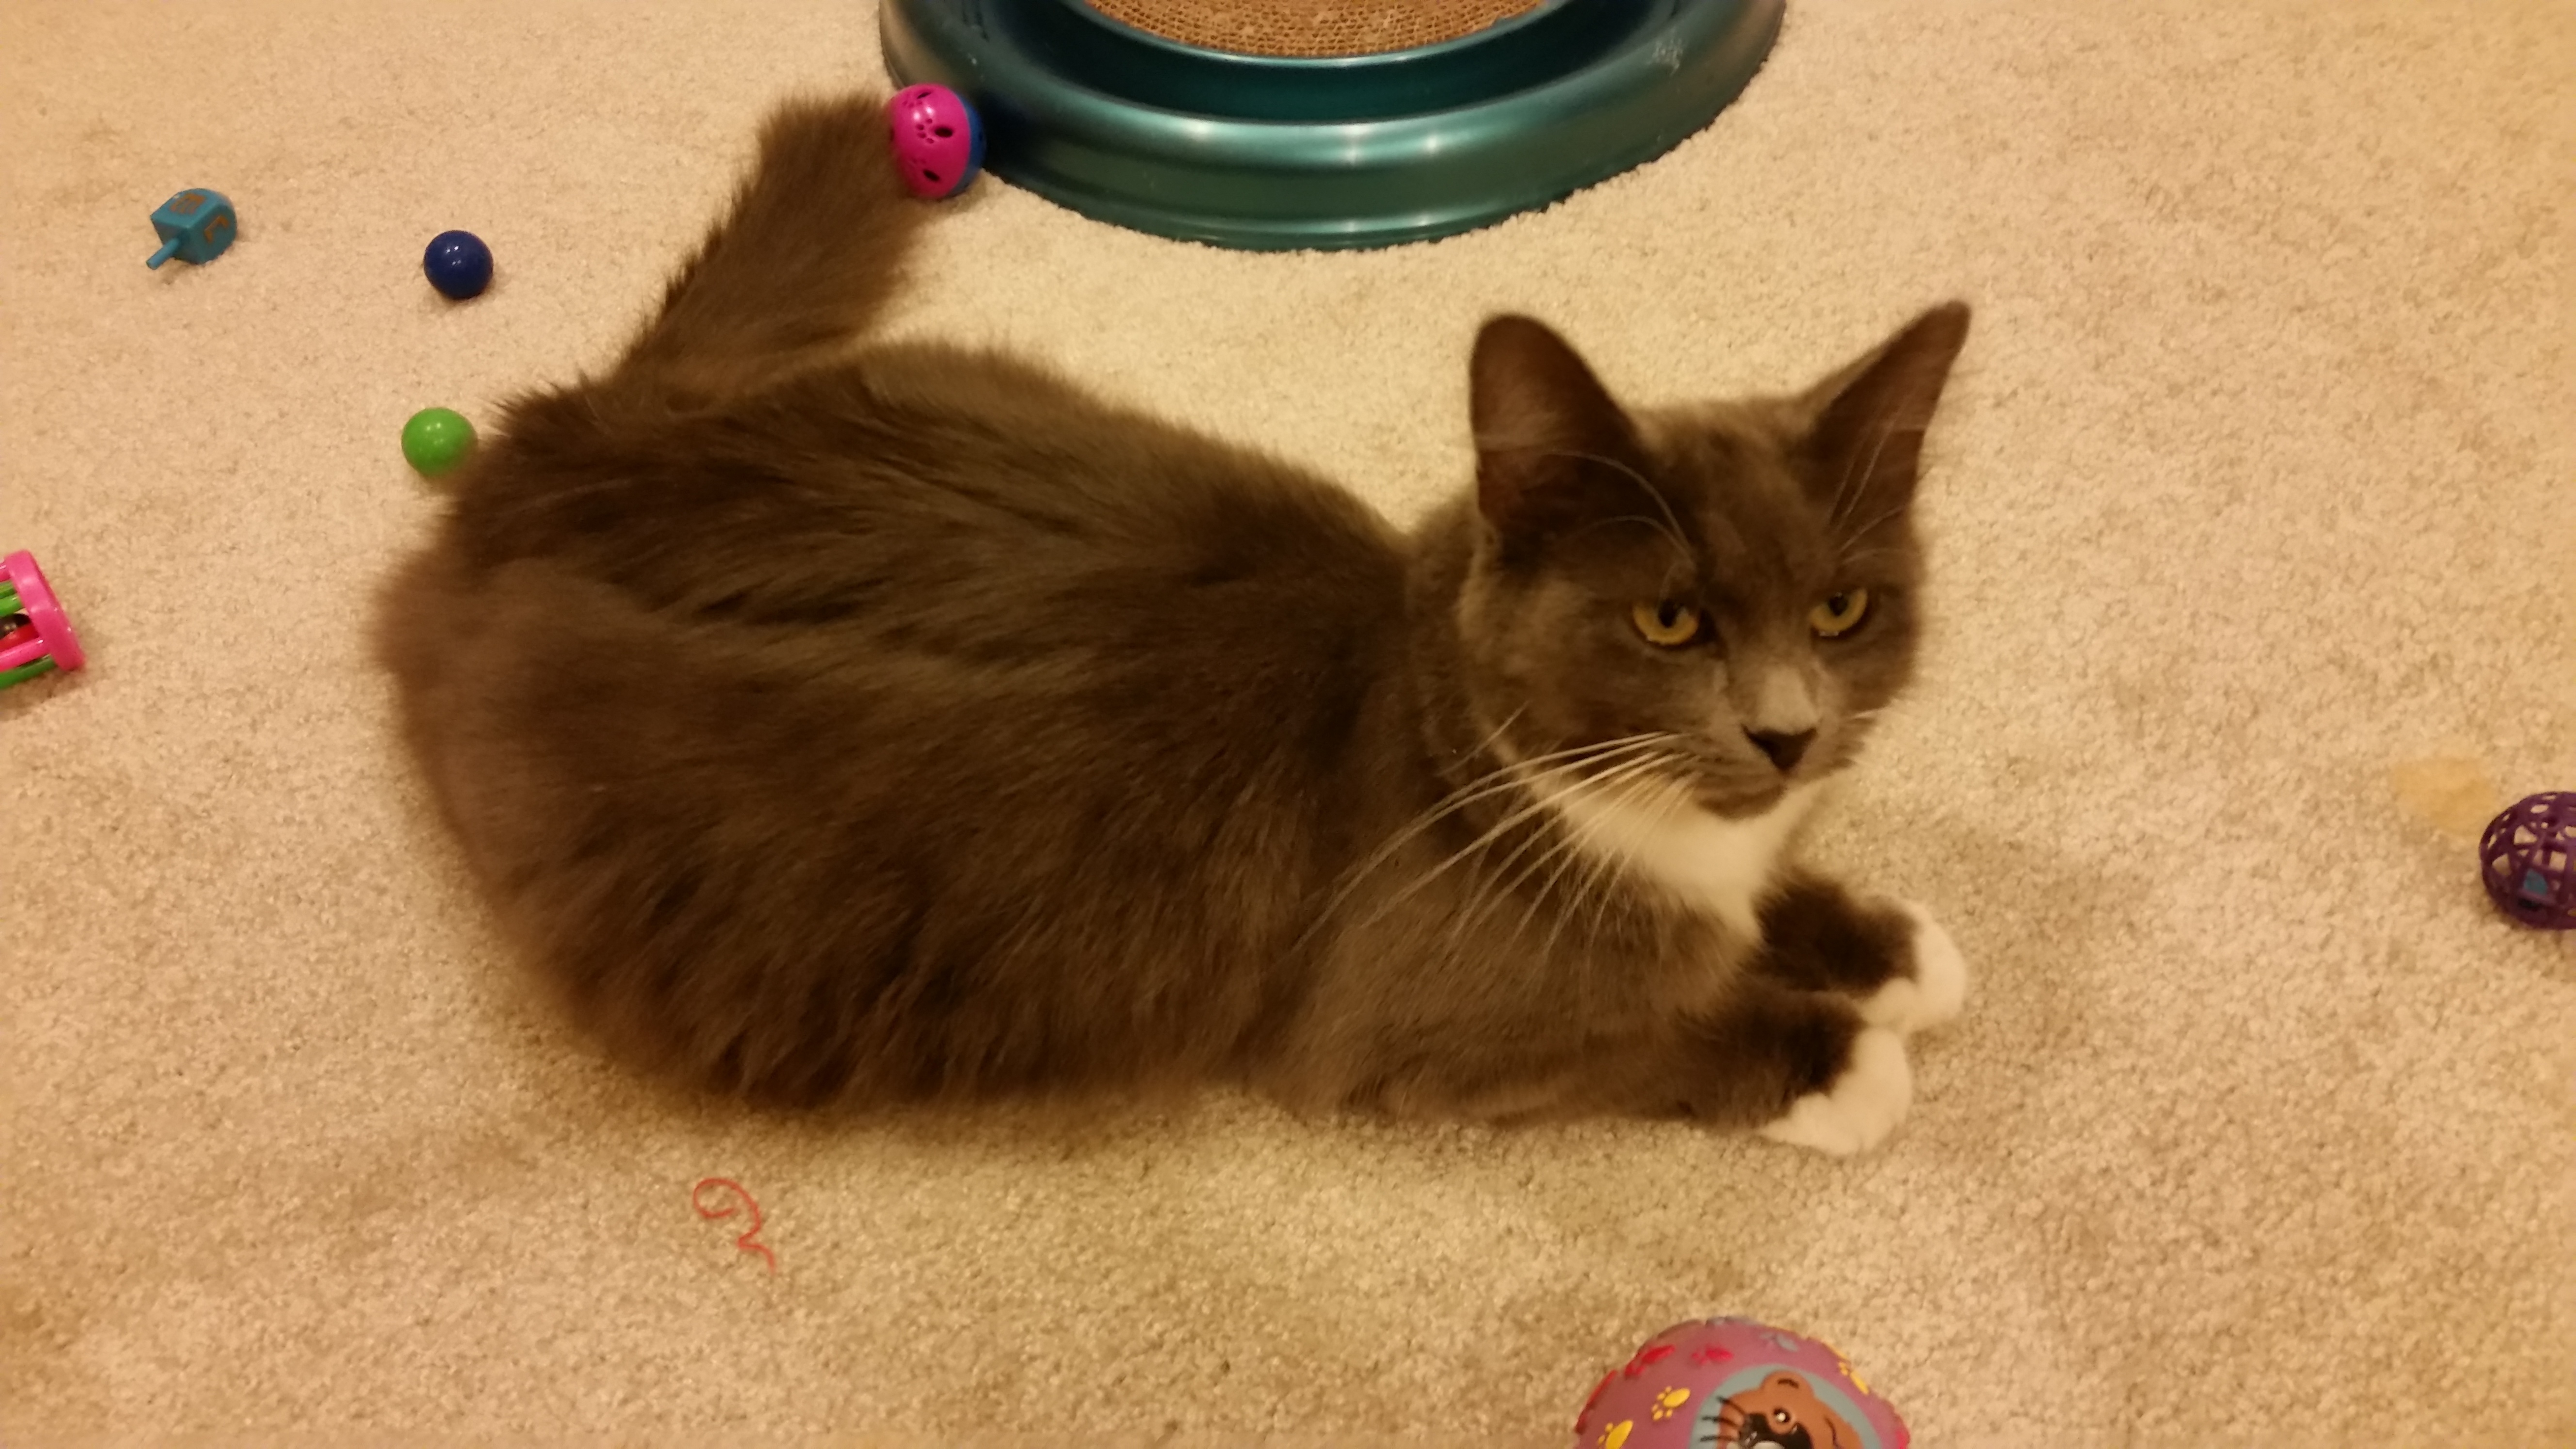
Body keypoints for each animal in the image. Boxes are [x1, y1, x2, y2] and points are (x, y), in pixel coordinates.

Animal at [376, 90, 1968, 1150]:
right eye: (1669, 622)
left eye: (1840, 607)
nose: (1785, 732)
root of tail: (574, 438)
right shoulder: (1410, 1033)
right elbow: (1644, 1035)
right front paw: (1842, 1061)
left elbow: (1771, 899)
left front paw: (1892, 946)